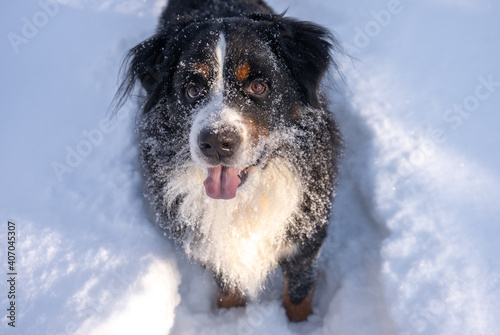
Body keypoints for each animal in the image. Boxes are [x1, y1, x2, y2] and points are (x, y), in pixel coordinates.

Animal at [116, 0, 344, 324]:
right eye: (192, 89)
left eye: (258, 86)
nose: (216, 143)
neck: (245, 200)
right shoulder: (213, 246)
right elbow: (228, 289)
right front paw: (229, 321)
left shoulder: (307, 236)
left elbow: (299, 294)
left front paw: (301, 326)